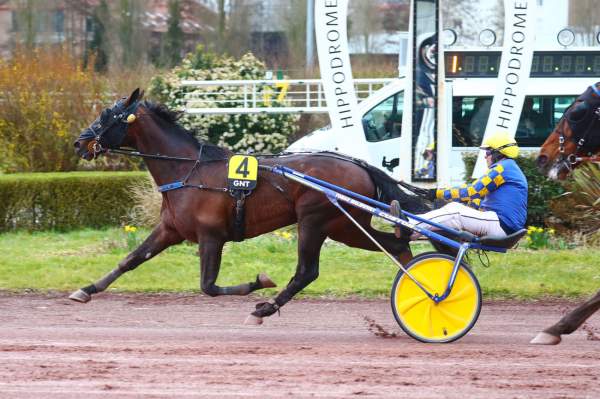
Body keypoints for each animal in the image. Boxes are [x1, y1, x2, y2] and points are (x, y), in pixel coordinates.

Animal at [70, 88, 426, 324]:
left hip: (318, 221)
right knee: (396, 244)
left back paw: (266, 308)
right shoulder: (170, 230)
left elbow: (209, 286)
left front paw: (259, 283)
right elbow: (130, 259)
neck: (188, 170)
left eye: (107, 116)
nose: (79, 143)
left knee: (307, 271)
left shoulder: (211, 236)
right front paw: (86, 289)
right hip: (346, 226)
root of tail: (360, 165)